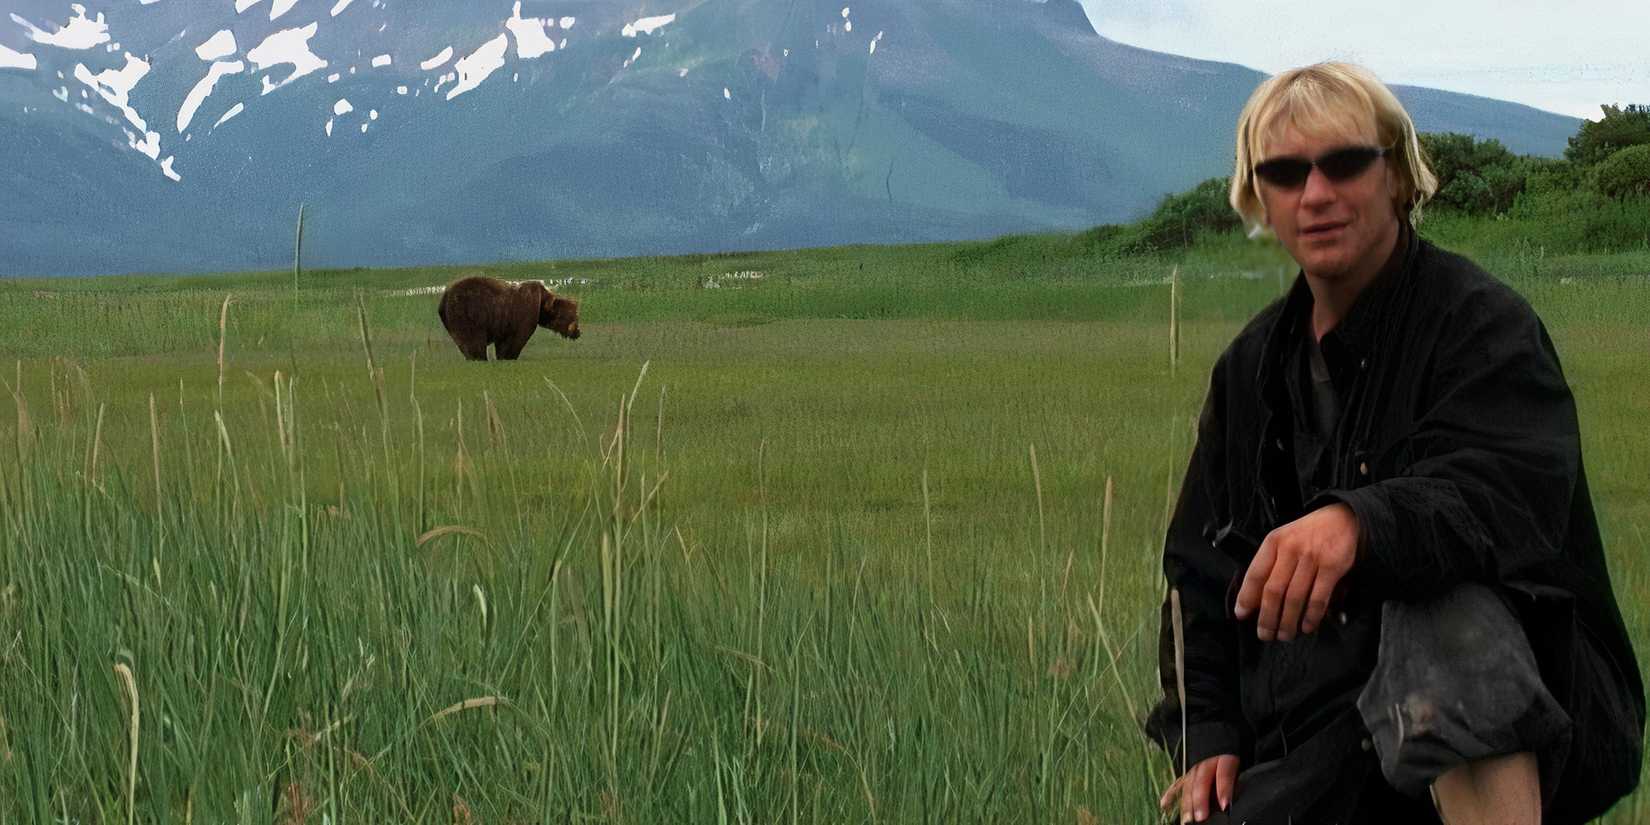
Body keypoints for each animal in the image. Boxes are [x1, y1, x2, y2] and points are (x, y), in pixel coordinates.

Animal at [437, 275, 581, 361]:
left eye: (575, 316)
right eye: (569, 316)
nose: (577, 332)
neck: (542, 303)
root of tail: (444, 296)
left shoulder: (504, 324)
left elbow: (502, 344)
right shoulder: (522, 316)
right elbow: (515, 341)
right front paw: (509, 357)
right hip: (468, 314)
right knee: (474, 341)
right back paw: (479, 358)